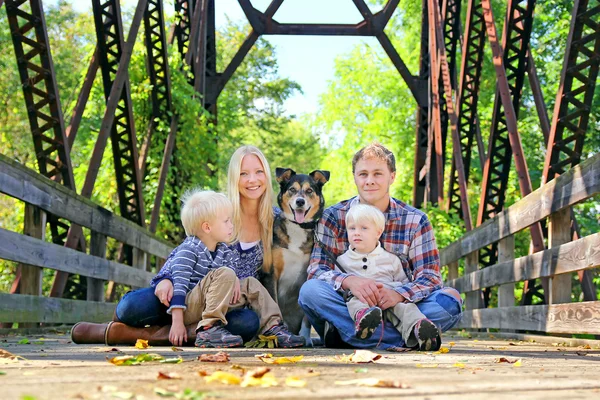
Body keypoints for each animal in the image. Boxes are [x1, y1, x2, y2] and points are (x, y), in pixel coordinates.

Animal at [262, 167, 330, 340]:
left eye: (309, 190)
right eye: (292, 189)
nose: (300, 201)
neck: (298, 227)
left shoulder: (308, 274)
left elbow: (306, 318)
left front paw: (305, 337)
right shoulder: (271, 274)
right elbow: (274, 303)